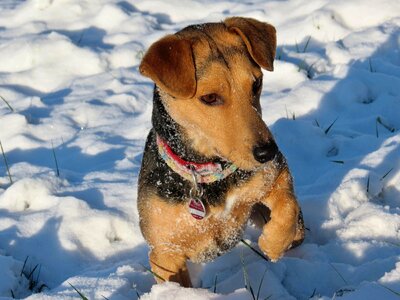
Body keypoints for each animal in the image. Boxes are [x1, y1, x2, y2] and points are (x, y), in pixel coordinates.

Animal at [137, 17, 304, 288]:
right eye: (210, 98)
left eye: (256, 83)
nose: (268, 152)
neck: (208, 174)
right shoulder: (165, 251)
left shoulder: (275, 176)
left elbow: (287, 206)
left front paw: (272, 244)